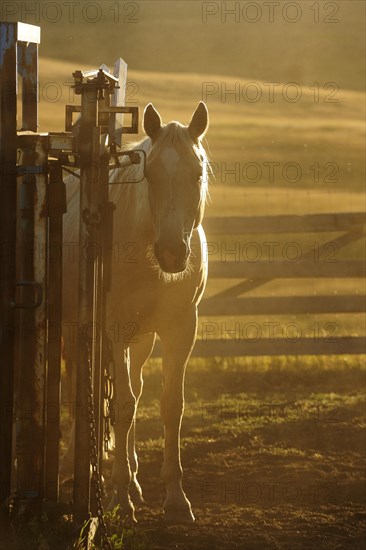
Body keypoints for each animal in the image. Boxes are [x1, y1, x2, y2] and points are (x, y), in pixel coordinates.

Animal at [61, 100, 210, 528]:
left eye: (197, 173)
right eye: (151, 174)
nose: (172, 253)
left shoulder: (181, 330)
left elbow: (169, 406)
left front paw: (175, 499)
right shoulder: (113, 330)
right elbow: (123, 406)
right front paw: (119, 498)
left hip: (140, 340)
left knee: (136, 390)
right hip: (77, 330)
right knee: (81, 387)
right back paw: (76, 465)